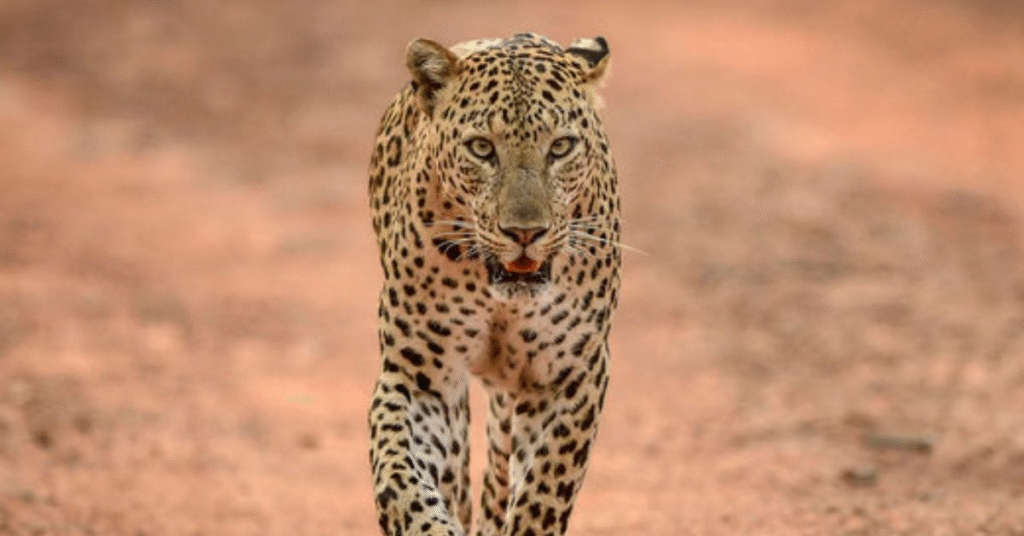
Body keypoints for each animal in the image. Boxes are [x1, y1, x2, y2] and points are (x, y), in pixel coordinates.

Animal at [367, 32, 621, 536]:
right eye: (482, 148)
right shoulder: (420, 378)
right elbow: (399, 477)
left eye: (561, 147)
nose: (525, 232)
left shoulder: (571, 375)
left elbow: (545, 485)